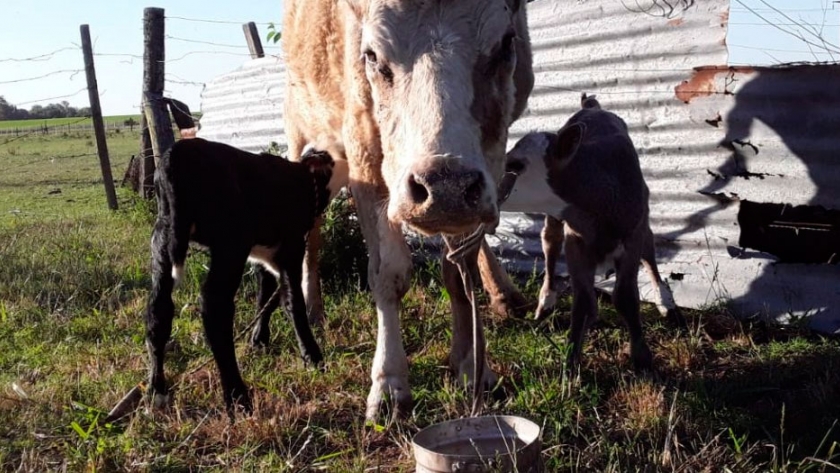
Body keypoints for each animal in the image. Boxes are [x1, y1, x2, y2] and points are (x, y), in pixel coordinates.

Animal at [281, 0, 534, 420]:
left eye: (506, 43)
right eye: (371, 55)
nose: (443, 185)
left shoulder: (484, 167)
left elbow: (460, 268)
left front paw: (471, 365)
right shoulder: (364, 148)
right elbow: (388, 274)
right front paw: (389, 384)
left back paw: (503, 293)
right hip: (303, 135)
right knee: (311, 231)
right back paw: (312, 306)